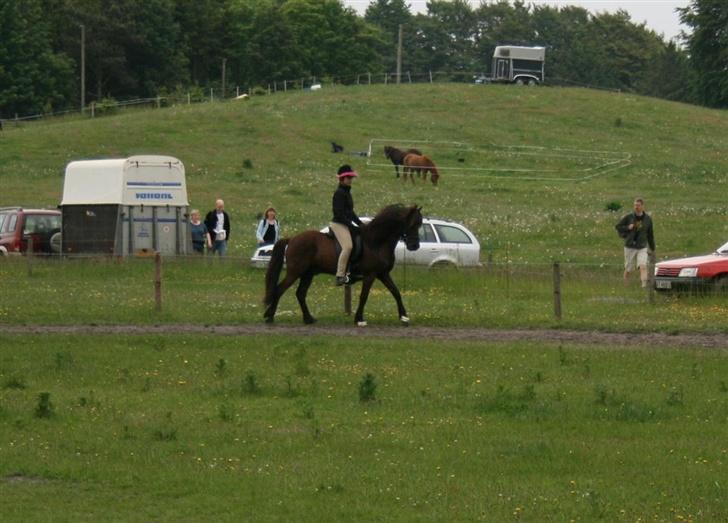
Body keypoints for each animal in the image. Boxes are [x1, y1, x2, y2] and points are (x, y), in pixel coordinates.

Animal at [264, 205, 424, 328]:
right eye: (412, 224)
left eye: (420, 225)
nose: (414, 246)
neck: (376, 242)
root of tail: (292, 239)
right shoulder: (370, 275)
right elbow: (364, 296)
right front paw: (359, 319)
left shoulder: (382, 274)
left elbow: (396, 292)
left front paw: (404, 317)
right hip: (295, 272)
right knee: (280, 289)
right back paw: (270, 316)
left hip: (308, 274)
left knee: (300, 293)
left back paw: (308, 319)